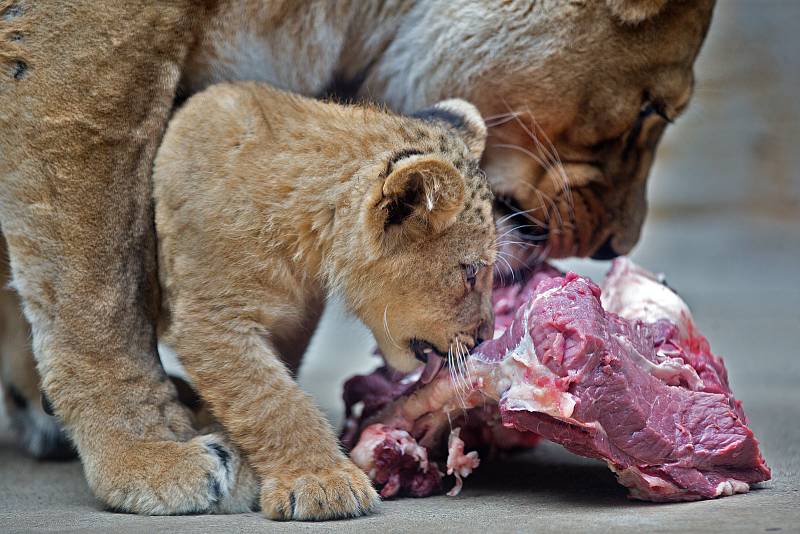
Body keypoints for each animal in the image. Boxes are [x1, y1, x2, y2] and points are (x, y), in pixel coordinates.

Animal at [0, 0, 712, 520]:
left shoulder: (292, 318)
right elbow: (265, 394)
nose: (488, 332)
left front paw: (245, 453)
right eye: (471, 271)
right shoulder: (209, 314)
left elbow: (274, 379)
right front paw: (317, 480)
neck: (306, 242)